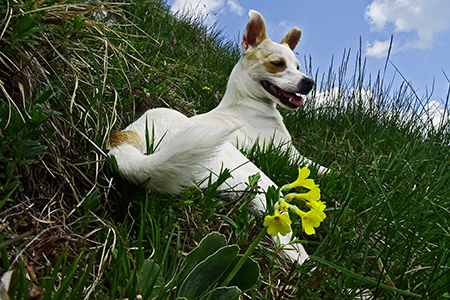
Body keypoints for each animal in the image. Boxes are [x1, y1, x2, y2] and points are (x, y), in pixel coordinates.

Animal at [109, 9, 326, 262]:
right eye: (278, 64)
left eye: (298, 66)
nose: (309, 82)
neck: (246, 101)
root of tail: (125, 136)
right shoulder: (291, 155)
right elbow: (327, 169)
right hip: (253, 176)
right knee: (287, 238)